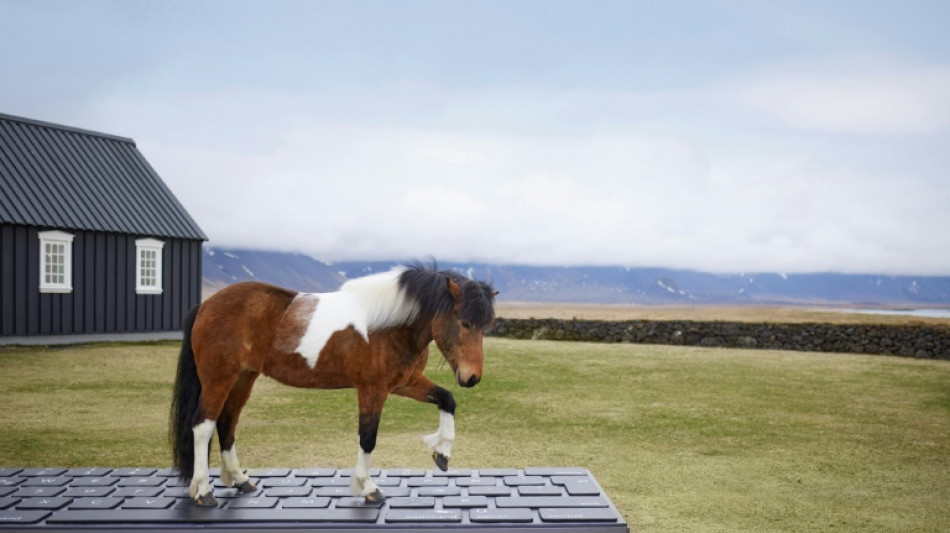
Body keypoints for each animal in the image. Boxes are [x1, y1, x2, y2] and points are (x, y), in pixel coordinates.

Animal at [169, 263, 497, 507]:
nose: (472, 377)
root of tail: (206, 304)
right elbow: (368, 438)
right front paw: (368, 487)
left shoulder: (406, 383)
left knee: (227, 423)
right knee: (203, 427)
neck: (389, 324)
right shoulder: (372, 389)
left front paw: (442, 453)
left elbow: (447, 399)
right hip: (218, 379)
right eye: (465, 323)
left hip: (242, 379)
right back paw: (203, 491)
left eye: (486, 325)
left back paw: (239, 479)